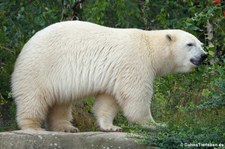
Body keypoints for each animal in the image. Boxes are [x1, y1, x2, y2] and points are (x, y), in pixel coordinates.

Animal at [11, 20, 207, 132]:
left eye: (201, 44)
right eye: (190, 44)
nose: (204, 55)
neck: (150, 47)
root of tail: (26, 46)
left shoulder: (116, 73)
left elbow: (108, 100)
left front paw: (112, 127)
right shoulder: (135, 62)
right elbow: (136, 96)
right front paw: (155, 124)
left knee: (61, 102)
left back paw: (67, 128)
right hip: (41, 68)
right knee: (34, 97)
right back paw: (33, 127)